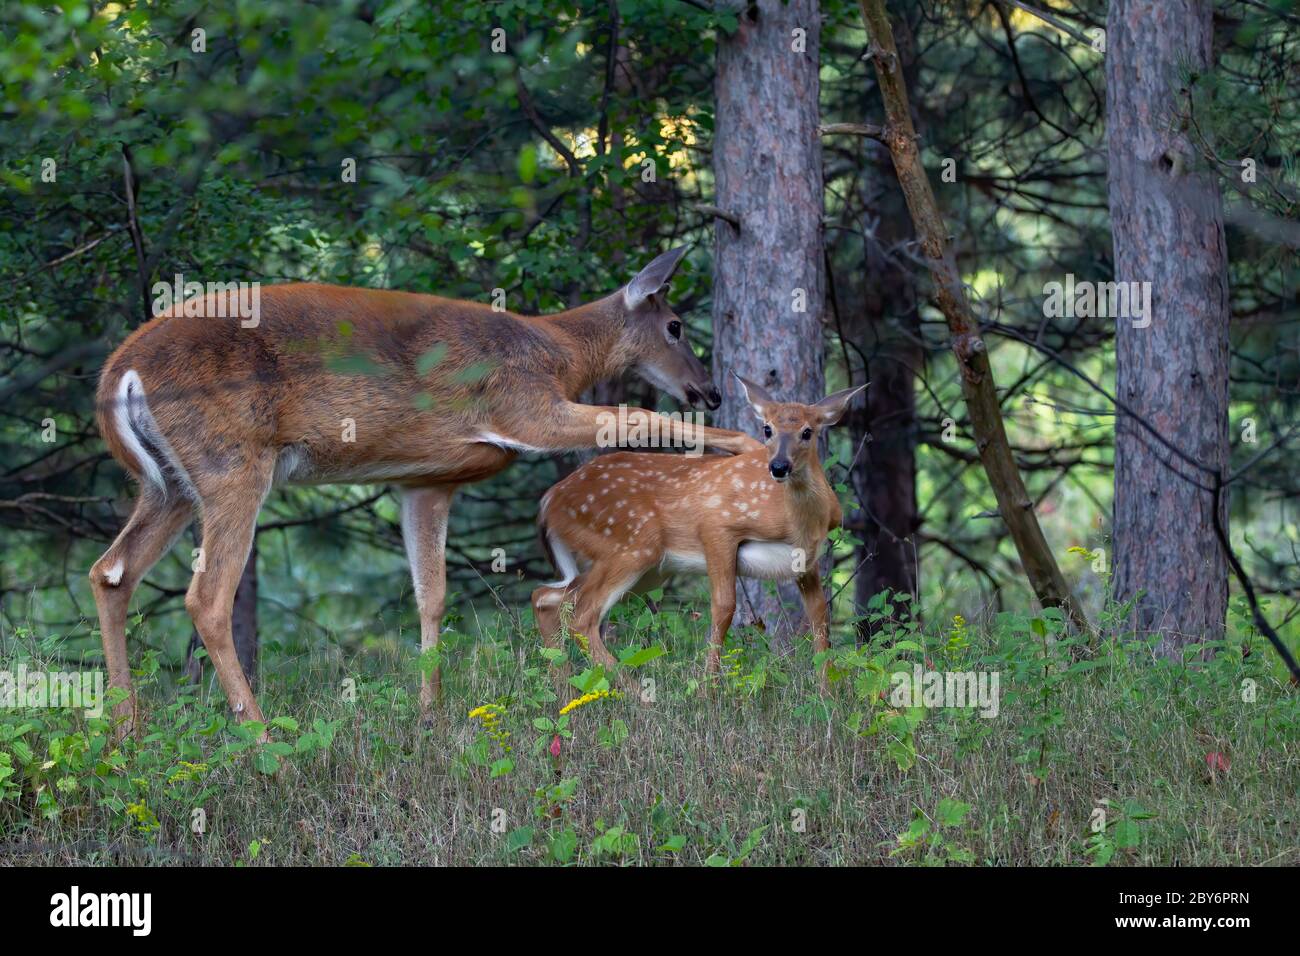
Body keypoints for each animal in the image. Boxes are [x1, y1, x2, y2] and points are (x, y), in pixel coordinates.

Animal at [91, 251, 759, 738]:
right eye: (674, 326)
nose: (710, 391)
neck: (559, 354)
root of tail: (117, 376)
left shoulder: (426, 479)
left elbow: (431, 597)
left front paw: (429, 713)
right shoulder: (524, 406)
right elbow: (636, 415)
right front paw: (747, 442)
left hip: (169, 485)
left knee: (111, 572)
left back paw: (126, 732)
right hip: (232, 464)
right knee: (206, 597)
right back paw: (263, 739)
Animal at [530, 374, 863, 686]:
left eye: (807, 432)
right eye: (767, 429)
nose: (779, 466)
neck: (798, 523)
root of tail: (548, 502)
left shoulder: (807, 561)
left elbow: (819, 616)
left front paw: (826, 690)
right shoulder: (716, 525)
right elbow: (725, 607)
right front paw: (708, 688)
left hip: (645, 568)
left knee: (546, 597)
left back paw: (567, 691)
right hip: (631, 544)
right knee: (580, 615)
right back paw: (635, 692)